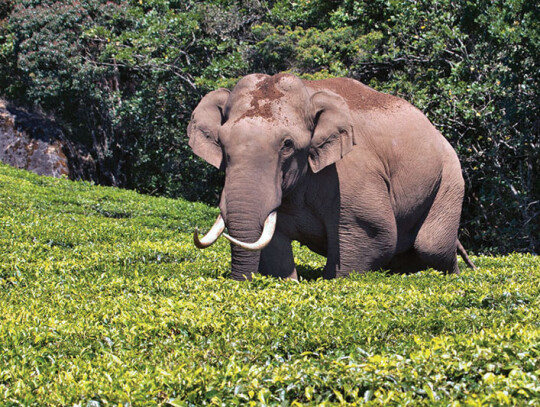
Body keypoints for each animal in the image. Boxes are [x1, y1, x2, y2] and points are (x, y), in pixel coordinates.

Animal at [188, 73, 474, 282]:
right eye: (221, 142)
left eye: (287, 144)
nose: (240, 283)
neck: (310, 92)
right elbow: (274, 244)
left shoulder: (352, 174)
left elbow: (374, 234)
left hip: (450, 177)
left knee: (431, 245)